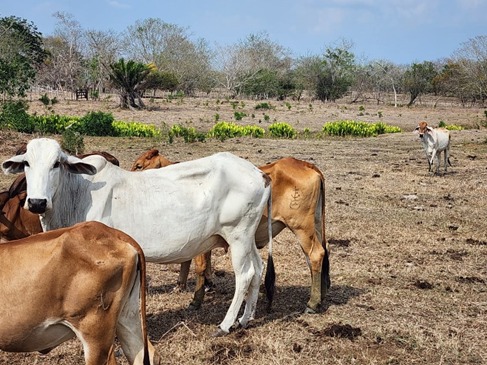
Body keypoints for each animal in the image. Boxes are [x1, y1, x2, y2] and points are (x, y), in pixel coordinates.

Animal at [1, 137, 274, 336]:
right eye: (26, 163)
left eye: (56, 163)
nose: (37, 202)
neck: (77, 192)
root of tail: (260, 174)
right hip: (247, 239)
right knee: (258, 268)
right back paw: (246, 318)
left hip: (237, 235)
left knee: (245, 275)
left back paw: (226, 325)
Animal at [132, 148, 330, 312]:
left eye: (139, 165)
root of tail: (307, 165)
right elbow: (192, 262)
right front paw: (192, 284)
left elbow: (199, 267)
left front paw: (196, 299)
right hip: (315, 225)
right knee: (316, 257)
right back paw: (320, 296)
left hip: (301, 227)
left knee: (315, 255)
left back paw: (312, 303)